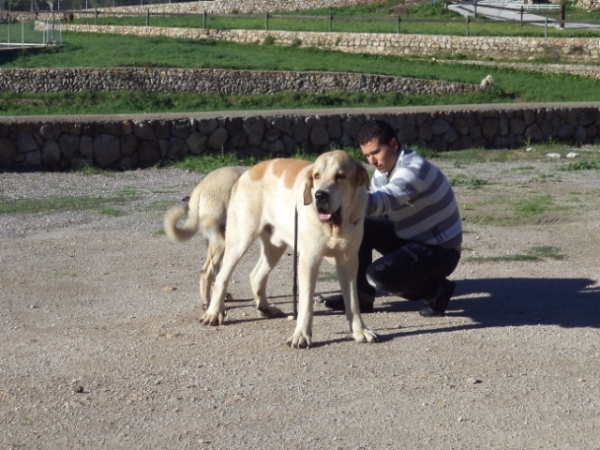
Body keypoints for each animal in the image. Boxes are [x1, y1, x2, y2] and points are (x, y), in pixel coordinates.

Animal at [202, 151, 380, 348]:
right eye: (317, 176)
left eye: (340, 176)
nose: (319, 195)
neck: (334, 227)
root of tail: (248, 171)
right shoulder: (309, 260)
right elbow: (306, 302)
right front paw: (301, 334)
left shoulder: (348, 261)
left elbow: (353, 302)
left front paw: (359, 330)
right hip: (240, 239)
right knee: (221, 277)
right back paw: (213, 313)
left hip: (275, 247)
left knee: (256, 275)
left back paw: (266, 308)